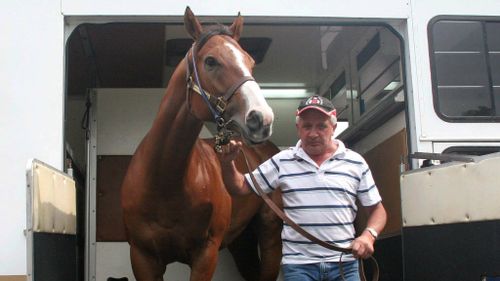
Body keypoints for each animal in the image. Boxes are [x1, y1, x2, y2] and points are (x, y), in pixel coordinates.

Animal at [120, 7, 284, 280]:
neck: (164, 182)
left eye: (250, 62)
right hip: (242, 240)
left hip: (270, 232)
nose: (261, 118)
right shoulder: (142, 257)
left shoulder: (206, 254)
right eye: (211, 61)